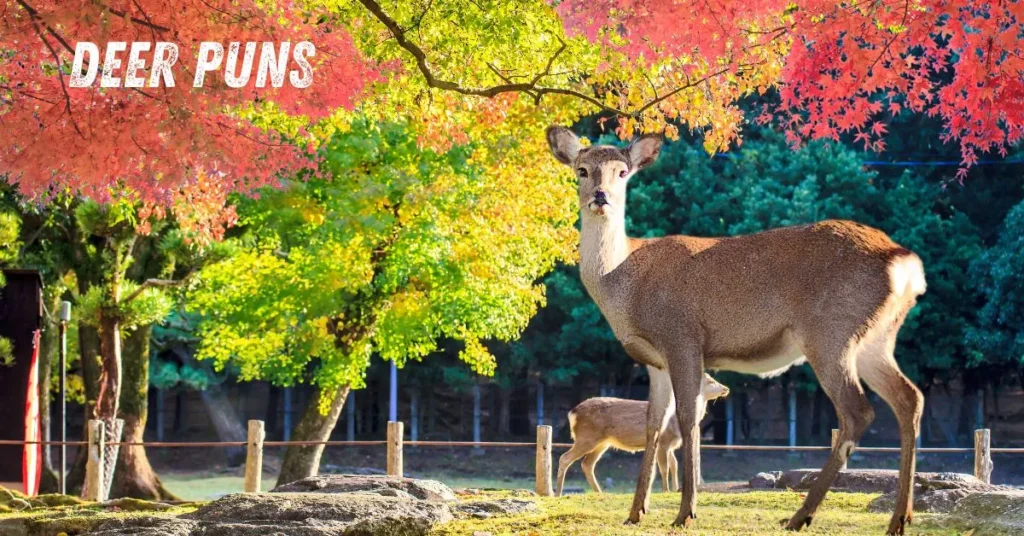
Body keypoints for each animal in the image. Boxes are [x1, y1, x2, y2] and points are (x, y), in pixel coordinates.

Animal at [555, 371, 729, 496]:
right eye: (710, 381)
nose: (726, 388)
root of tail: (572, 413)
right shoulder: (664, 440)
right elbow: (664, 467)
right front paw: (666, 490)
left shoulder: (671, 445)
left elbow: (674, 465)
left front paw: (675, 489)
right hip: (587, 437)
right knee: (565, 458)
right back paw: (557, 493)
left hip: (602, 442)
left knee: (587, 464)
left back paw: (599, 492)